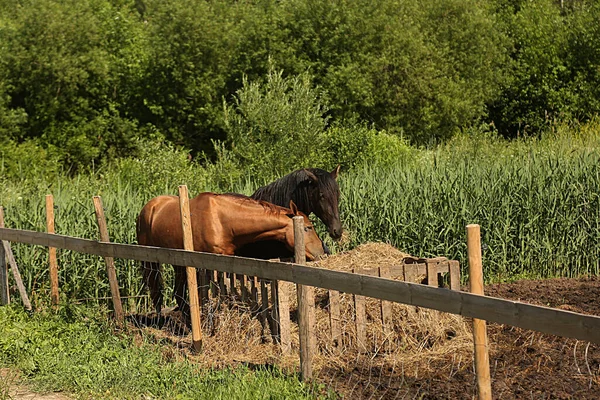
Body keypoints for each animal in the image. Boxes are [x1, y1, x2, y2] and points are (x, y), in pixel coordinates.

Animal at [137, 191, 326, 318]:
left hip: (177, 263)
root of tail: (149, 207)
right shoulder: (203, 265)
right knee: (156, 293)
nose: (322, 253)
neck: (222, 221)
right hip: (150, 263)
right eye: (308, 227)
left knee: (177, 293)